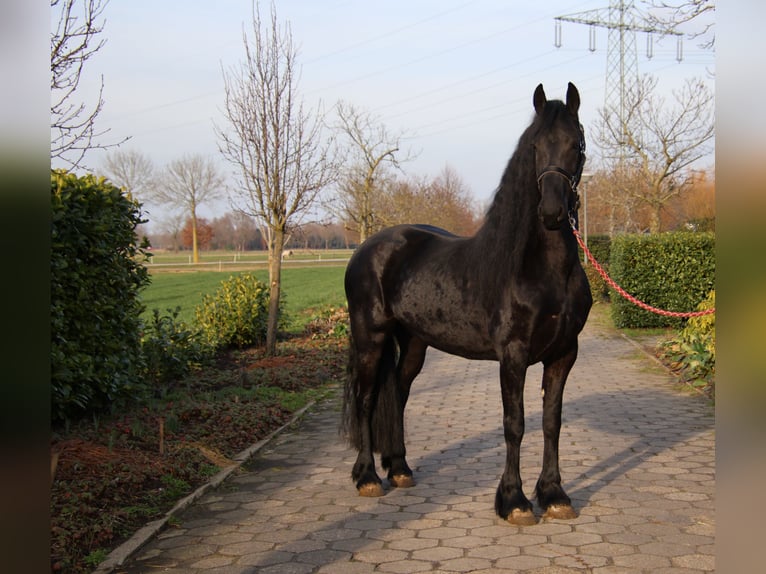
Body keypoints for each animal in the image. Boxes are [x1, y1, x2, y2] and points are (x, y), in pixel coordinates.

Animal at [341, 83, 592, 525]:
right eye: (534, 146)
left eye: (576, 145)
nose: (551, 212)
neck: (542, 271)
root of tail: (367, 249)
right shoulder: (513, 356)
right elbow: (515, 424)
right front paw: (514, 501)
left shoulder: (564, 353)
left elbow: (551, 422)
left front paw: (554, 495)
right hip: (370, 338)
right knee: (367, 399)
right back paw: (368, 476)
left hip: (414, 343)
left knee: (398, 395)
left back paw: (399, 469)